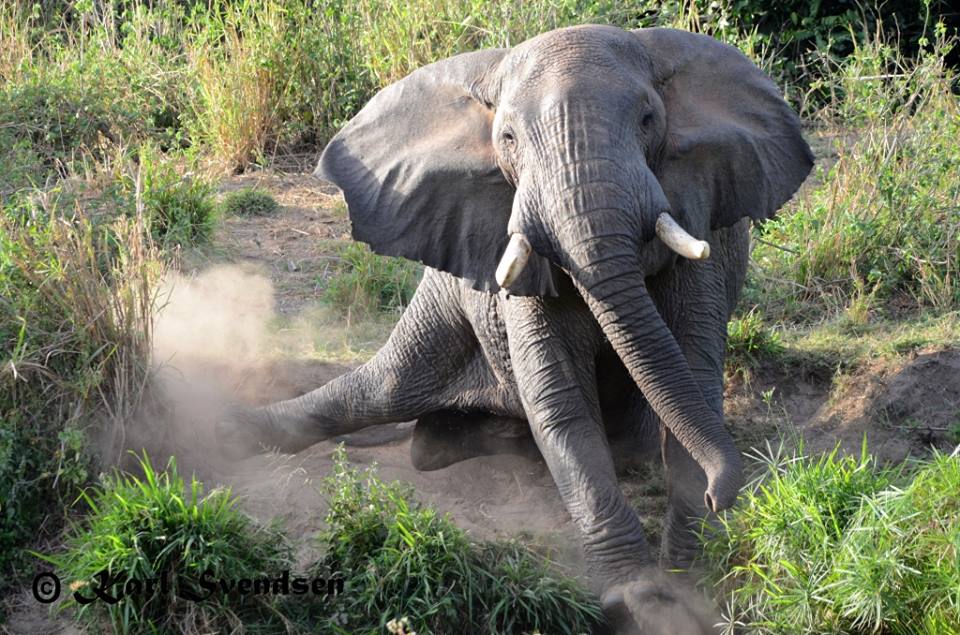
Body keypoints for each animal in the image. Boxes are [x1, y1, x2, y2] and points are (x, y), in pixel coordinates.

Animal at [217, 25, 812, 633]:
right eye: (506, 137)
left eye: (649, 119)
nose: (721, 496)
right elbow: (561, 400)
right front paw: (641, 597)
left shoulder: (701, 218)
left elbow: (692, 372)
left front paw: (682, 584)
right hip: (439, 301)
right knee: (381, 390)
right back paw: (219, 432)